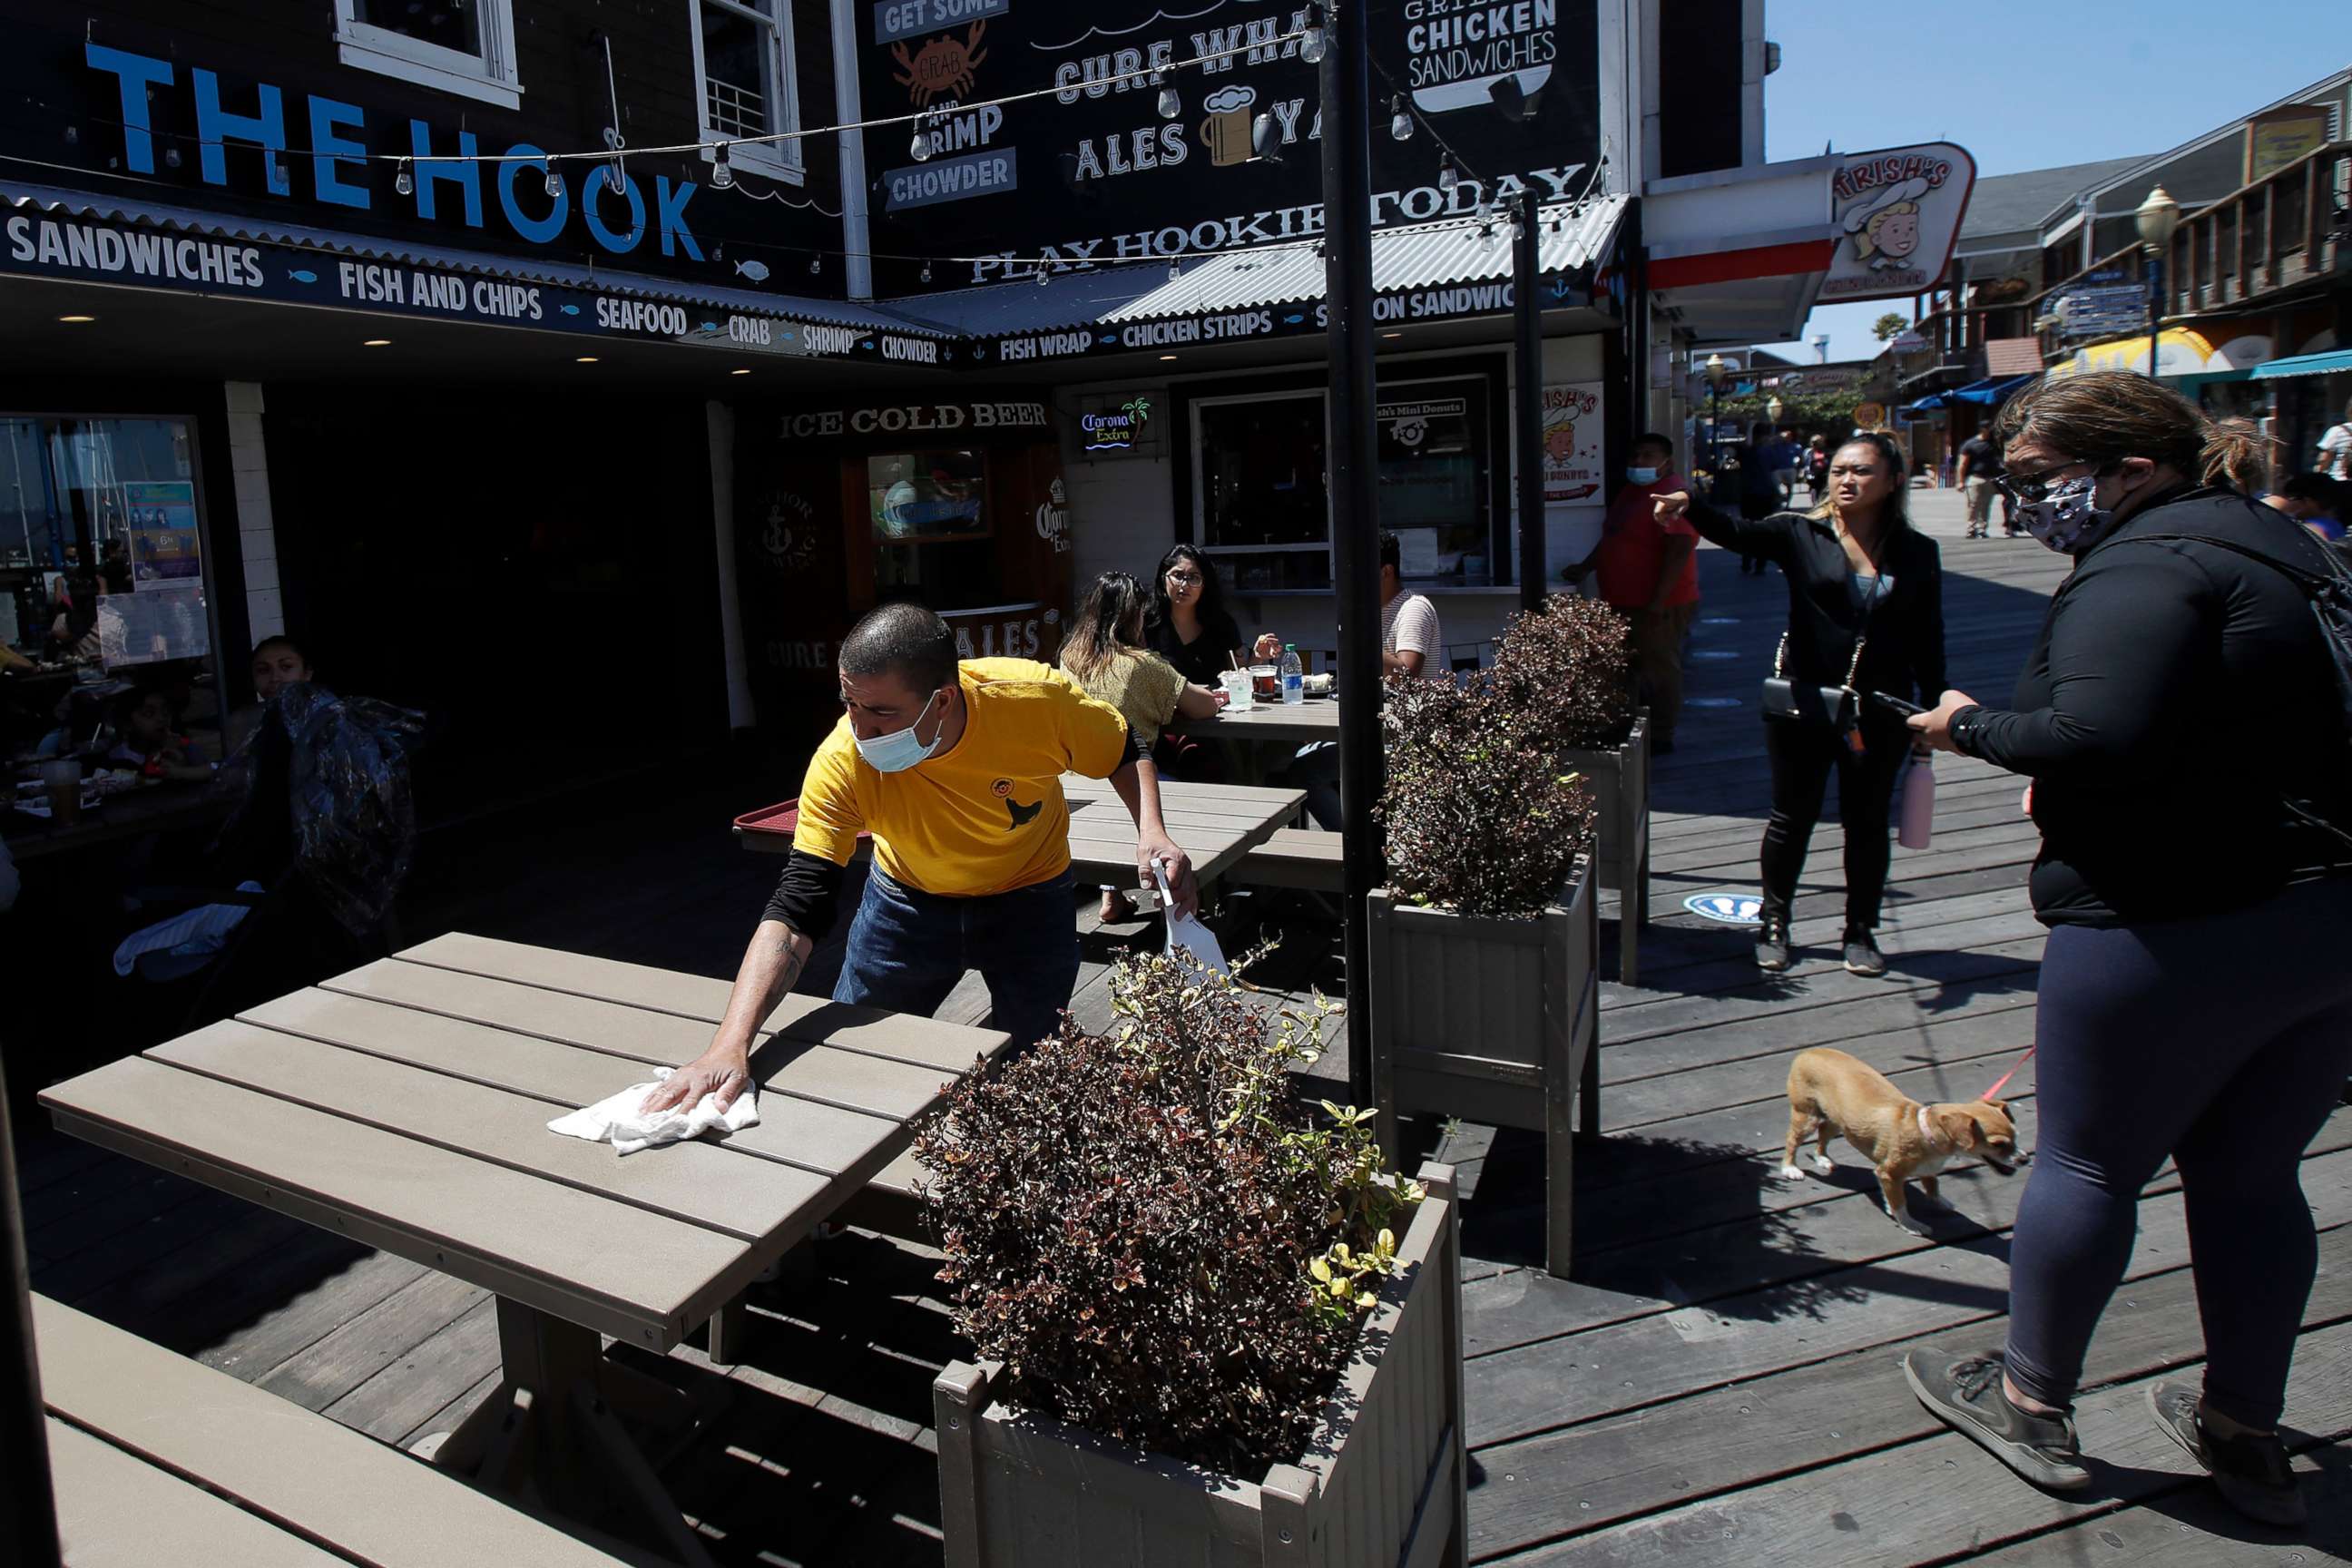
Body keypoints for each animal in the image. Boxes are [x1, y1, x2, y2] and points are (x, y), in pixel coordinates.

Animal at [1778, 1048, 2023, 1231]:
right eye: (1998, 1145)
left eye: (2016, 1137)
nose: (2025, 1159)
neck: (1924, 1131)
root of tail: (1807, 1052)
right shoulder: (1888, 1174)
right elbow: (1900, 1203)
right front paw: (1911, 1225)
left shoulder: (1928, 1169)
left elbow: (1933, 1185)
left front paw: (1940, 1201)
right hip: (1806, 1116)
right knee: (1792, 1140)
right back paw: (1790, 1168)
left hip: (1838, 1121)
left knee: (1823, 1134)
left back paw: (1823, 1159)